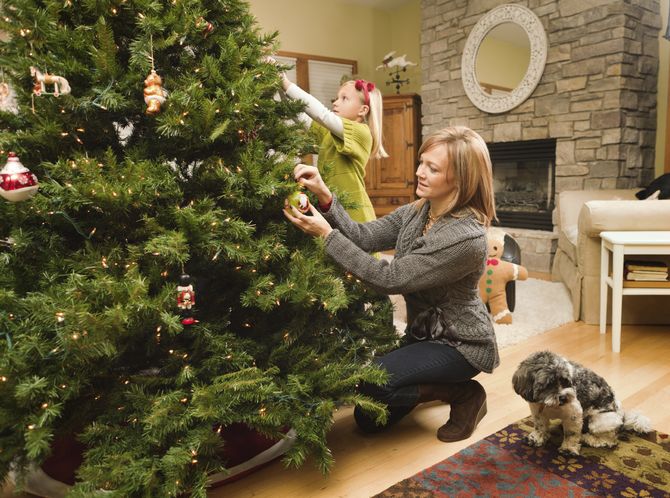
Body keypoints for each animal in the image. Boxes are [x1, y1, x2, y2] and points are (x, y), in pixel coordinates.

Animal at [516, 350, 652, 456]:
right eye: (548, 384)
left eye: (566, 382)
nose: (564, 397)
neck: (548, 405)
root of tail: (622, 417)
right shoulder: (537, 411)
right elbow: (540, 426)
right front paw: (537, 438)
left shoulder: (573, 414)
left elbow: (571, 434)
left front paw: (568, 448)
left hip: (599, 422)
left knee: (609, 440)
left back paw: (587, 438)